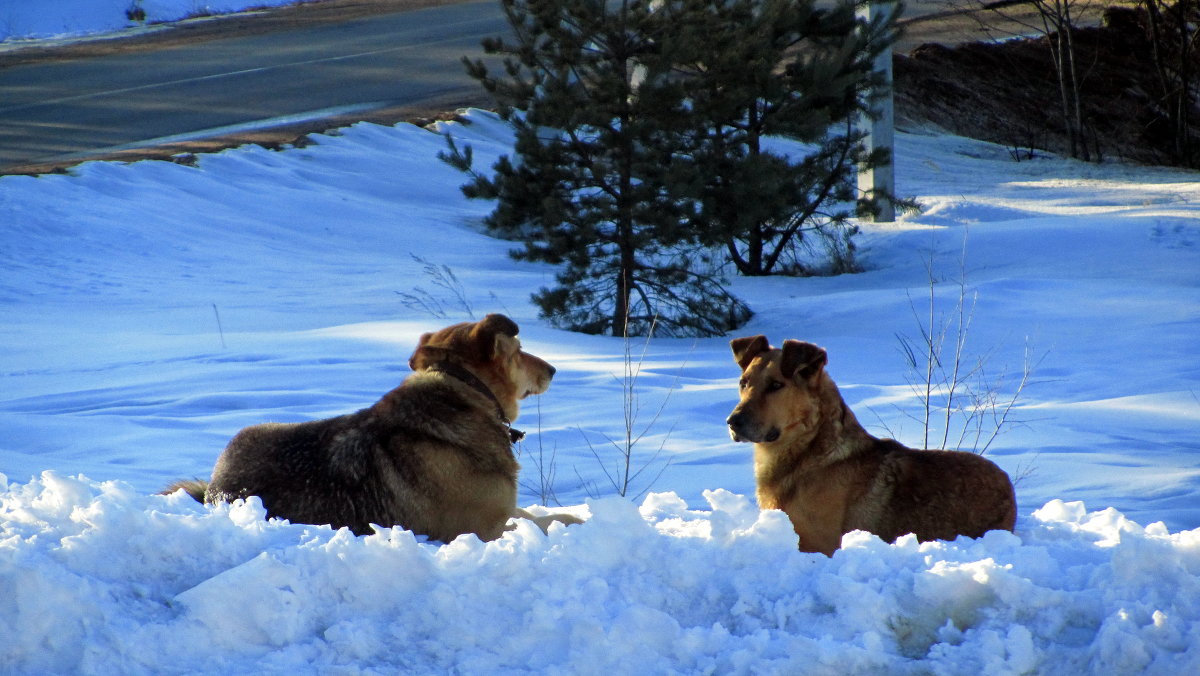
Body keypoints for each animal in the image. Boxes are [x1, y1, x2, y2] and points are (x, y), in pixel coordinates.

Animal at [170, 314, 580, 542]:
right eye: (520, 349)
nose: (554, 369)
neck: (466, 392)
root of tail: (215, 487)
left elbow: (536, 515)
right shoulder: (479, 529)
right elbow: (540, 522)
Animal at [724, 336, 1017, 554]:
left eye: (776, 385)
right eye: (743, 383)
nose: (732, 422)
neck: (810, 450)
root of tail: (1008, 483)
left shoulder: (818, 545)